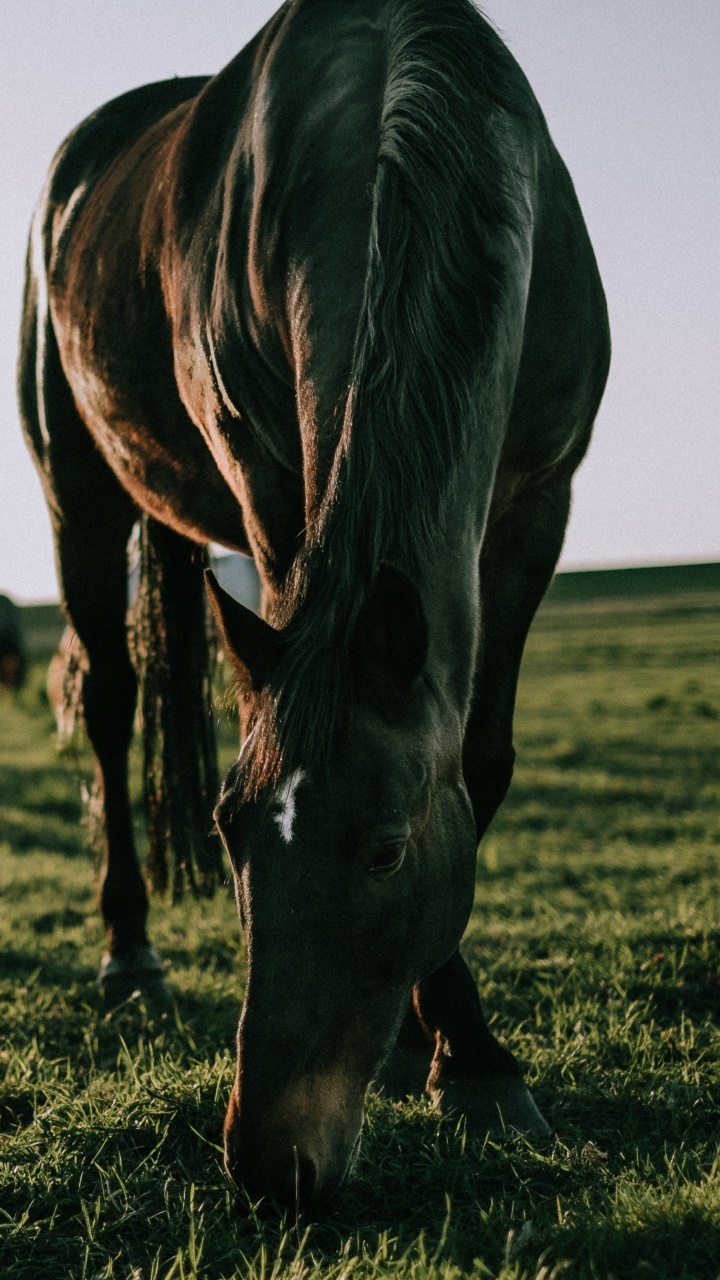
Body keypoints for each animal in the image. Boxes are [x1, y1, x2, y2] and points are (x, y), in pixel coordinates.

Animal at [19, 0, 610, 1208]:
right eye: (232, 832)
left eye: (383, 850)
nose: (269, 1162)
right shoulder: (274, 483)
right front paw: (457, 1054)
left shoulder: (539, 503)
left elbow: (479, 760)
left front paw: (460, 1056)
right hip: (78, 493)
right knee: (107, 705)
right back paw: (130, 954)